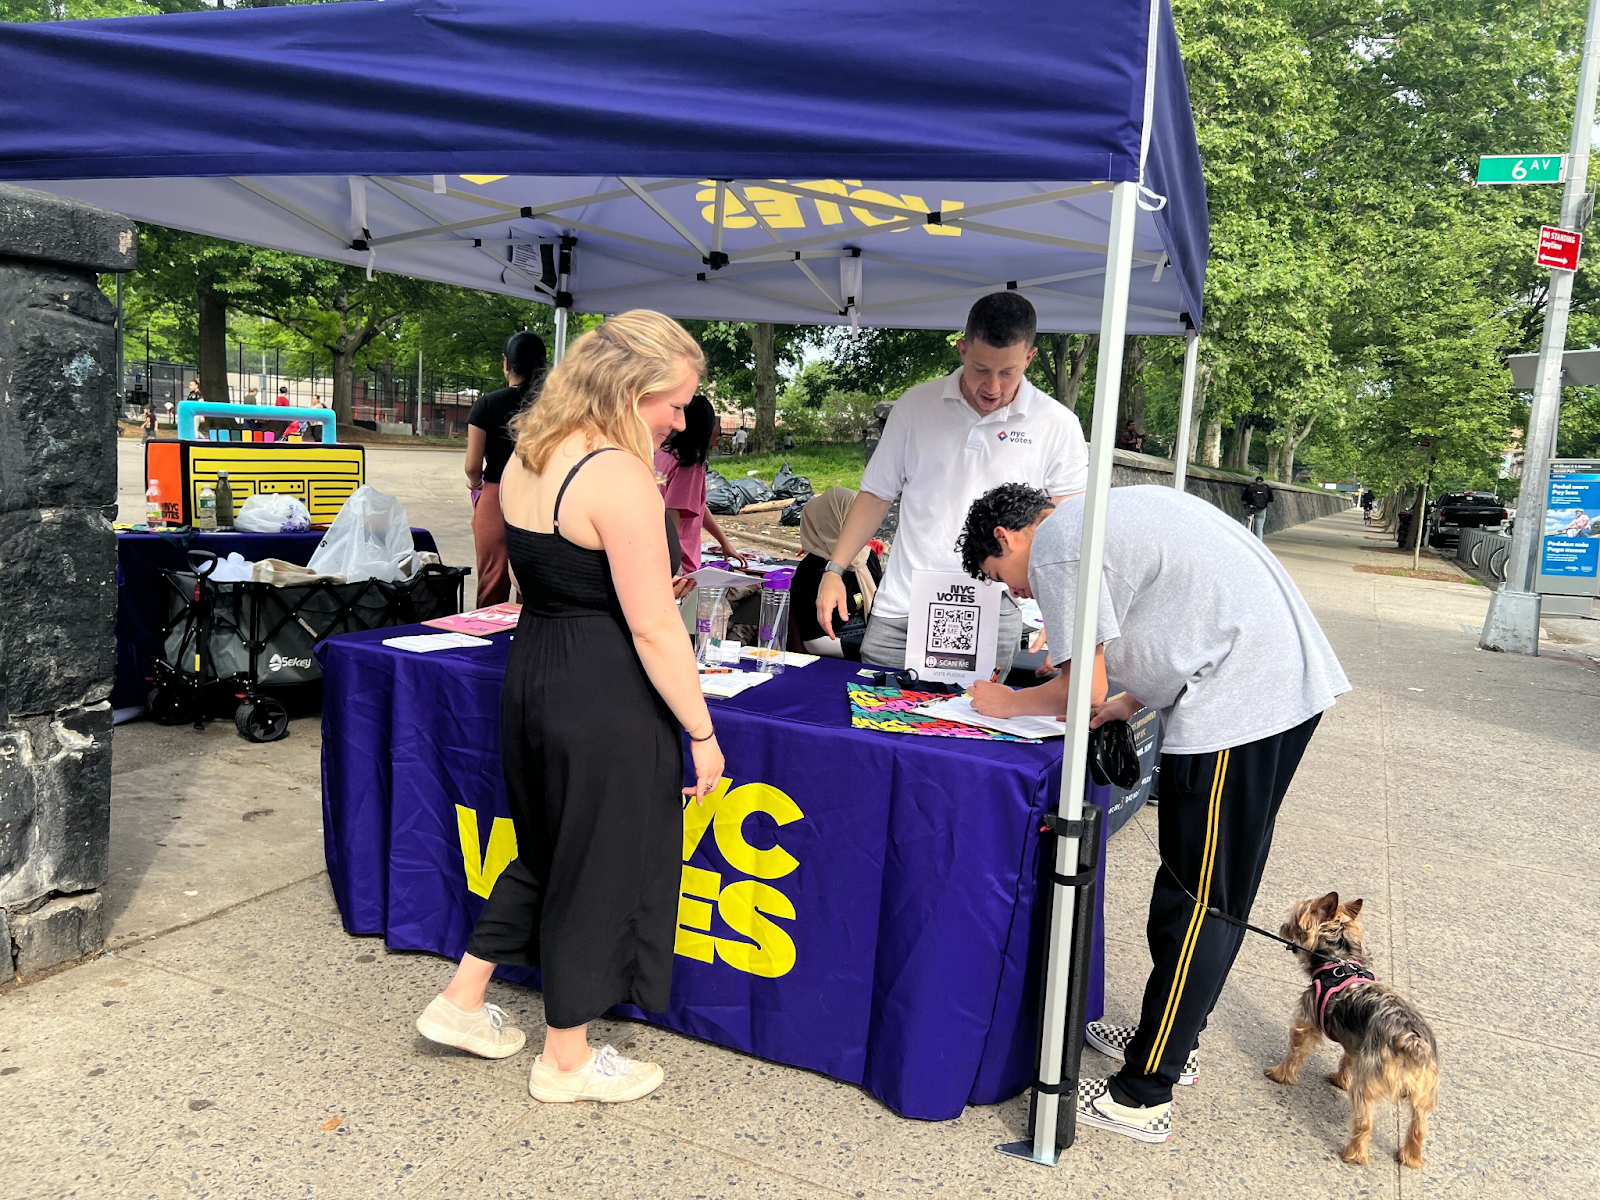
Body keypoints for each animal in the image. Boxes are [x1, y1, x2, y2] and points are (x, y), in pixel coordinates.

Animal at [1267, 896, 1446, 1171]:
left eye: (1293, 921)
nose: (1282, 927)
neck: (1339, 958)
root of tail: (1412, 1042)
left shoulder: (1306, 1022)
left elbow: (1295, 1051)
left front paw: (1280, 1074)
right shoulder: (1356, 1043)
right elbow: (1347, 1060)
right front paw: (1340, 1080)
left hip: (1368, 1085)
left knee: (1364, 1121)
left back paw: (1354, 1155)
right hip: (1424, 1094)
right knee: (1419, 1127)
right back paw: (1411, 1158)